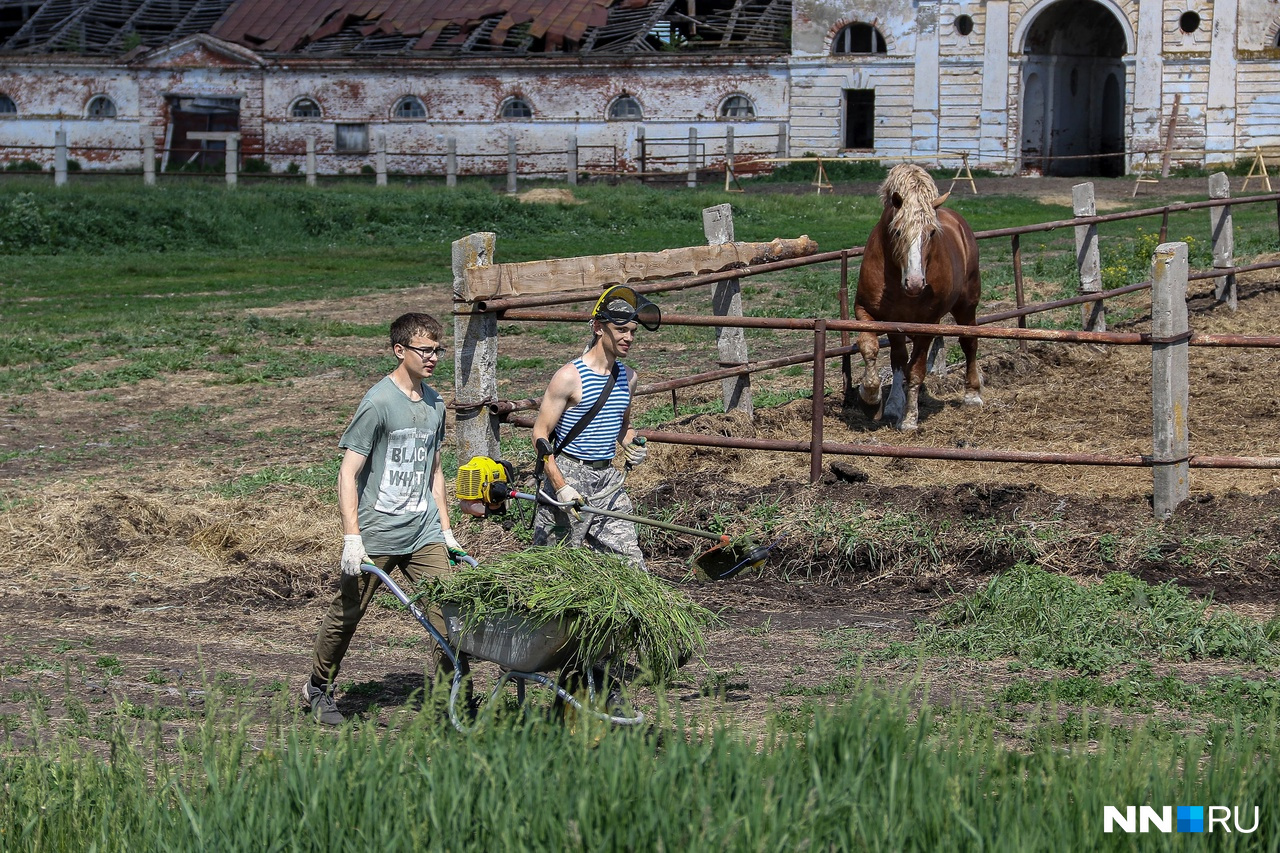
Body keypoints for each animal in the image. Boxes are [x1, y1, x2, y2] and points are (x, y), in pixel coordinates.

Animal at [855, 160, 983, 427]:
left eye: (932, 232)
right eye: (896, 231)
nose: (915, 283)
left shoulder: (927, 323)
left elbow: (916, 370)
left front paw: (909, 419)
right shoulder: (866, 312)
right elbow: (872, 349)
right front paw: (873, 401)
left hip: (966, 307)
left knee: (969, 343)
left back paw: (972, 395)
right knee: (899, 357)